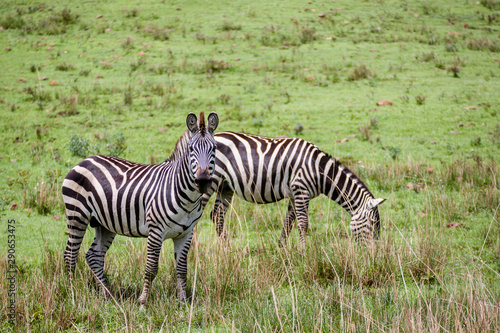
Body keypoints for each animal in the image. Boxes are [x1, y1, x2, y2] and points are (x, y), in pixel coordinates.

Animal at [61, 112, 218, 304]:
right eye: (191, 149)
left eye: (214, 148)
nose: (202, 181)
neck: (187, 198)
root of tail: (85, 160)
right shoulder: (156, 231)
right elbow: (151, 268)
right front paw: (143, 301)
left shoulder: (186, 234)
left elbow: (182, 269)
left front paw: (183, 302)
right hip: (77, 215)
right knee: (70, 255)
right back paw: (72, 294)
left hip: (104, 223)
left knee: (94, 256)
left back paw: (108, 295)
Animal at [201, 131, 384, 245]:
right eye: (372, 223)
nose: (373, 254)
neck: (318, 169)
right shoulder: (301, 191)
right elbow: (303, 224)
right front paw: (303, 253)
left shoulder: (293, 194)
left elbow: (288, 222)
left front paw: (281, 248)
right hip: (210, 182)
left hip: (225, 186)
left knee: (217, 216)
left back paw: (228, 248)